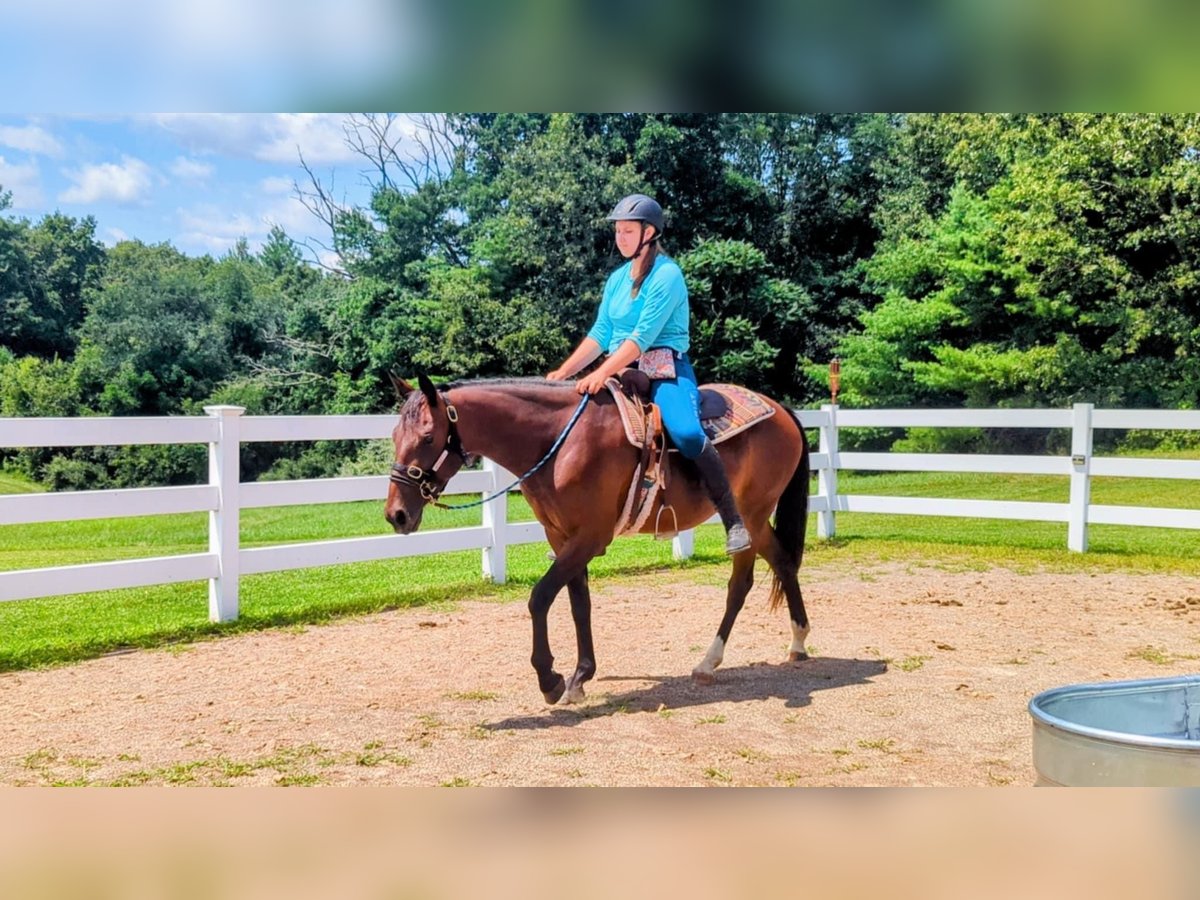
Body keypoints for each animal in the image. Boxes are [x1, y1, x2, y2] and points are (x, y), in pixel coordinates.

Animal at [388, 372, 811, 705]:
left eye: (428, 436)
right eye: (394, 434)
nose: (396, 514)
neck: (558, 442)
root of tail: (781, 410)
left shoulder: (590, 537)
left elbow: (540, 597)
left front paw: (550, 680)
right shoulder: (562, 537)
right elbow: (580, 604)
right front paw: (580, 677)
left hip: (750, 516)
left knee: (741, 583)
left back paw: (710, 661)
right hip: (759, 520)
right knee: (783, 562)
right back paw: (797, 642)